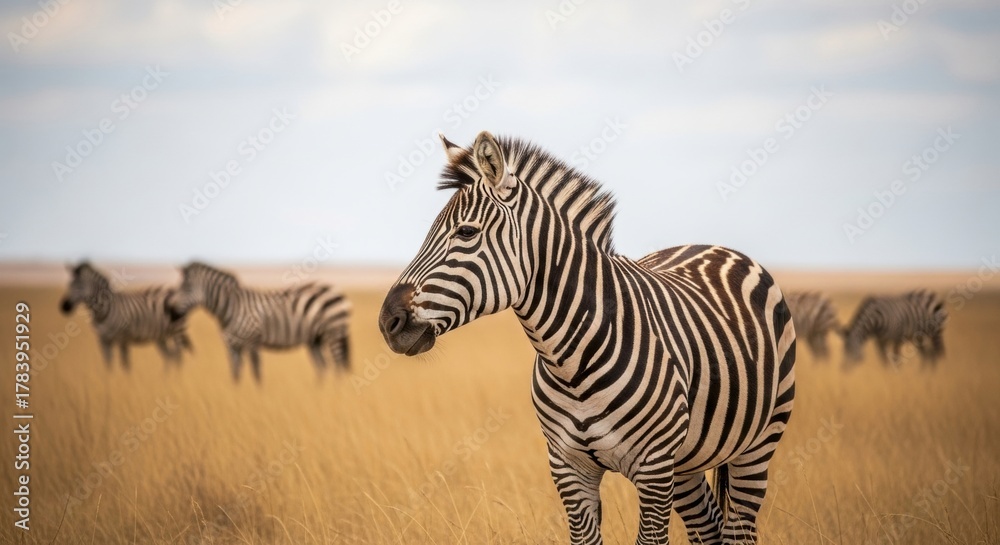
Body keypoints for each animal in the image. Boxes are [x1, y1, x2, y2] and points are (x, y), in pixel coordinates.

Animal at [60, 261, 192, 369]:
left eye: (80, 286)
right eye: (69, 284)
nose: (64, 307)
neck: (104, 312)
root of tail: (171, 290)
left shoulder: (123, 338)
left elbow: (125, 364)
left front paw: (125, 382)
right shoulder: (103, 340)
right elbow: (108, 365)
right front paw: (108, 382)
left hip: (177, 331)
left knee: (178, 356)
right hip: (161, 336)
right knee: (169, 357)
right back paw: (166, 379)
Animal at [166, 262, 351, 382]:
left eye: (186, 288)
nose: (170, 312)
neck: (230, 309)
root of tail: (335, 289)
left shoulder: (252, 342)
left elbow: (256, 374)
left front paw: (257, 399)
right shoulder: (232, 347)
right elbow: (235, 375)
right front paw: (236, 399)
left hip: (334, 332)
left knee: (339, 366)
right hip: (315, 339)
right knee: (324, 367)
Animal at [379, 131, 796, 544]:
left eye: (466, 232)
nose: (387, 322)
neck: (571, 365)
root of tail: (717, 247)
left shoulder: (654, 469)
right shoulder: (568, 467)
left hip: (757, 445)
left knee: (739, 527)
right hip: (687, 461)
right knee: (708, 527)